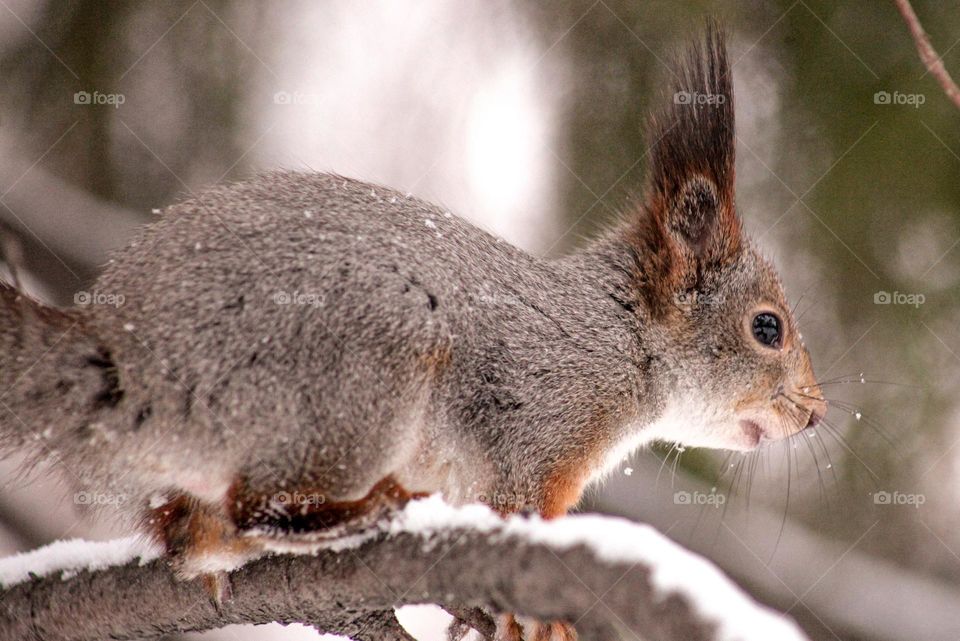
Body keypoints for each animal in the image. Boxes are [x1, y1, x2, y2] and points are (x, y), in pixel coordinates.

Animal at [1, 21, 824, 620]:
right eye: (768, 328)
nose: (815, 416)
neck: (617, 337)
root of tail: (129, 358)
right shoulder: (534, 429)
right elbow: (521, 505)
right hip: (360, 381)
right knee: (260, 504)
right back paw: (363, 512)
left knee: (192, 536)